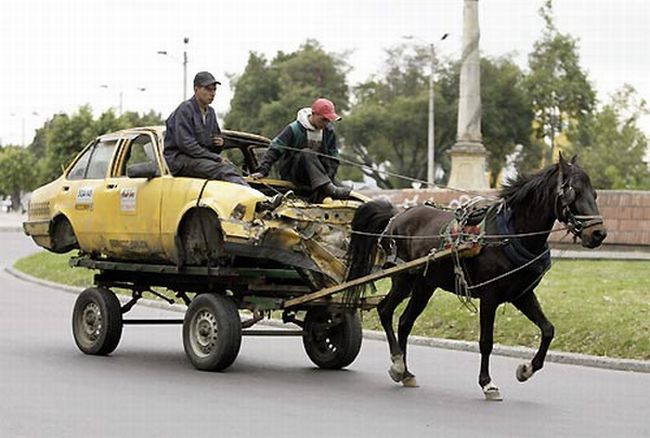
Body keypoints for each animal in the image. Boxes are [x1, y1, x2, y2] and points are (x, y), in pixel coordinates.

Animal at [346, 154, 604, 400]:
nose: (599, 234)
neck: (510, 233)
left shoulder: (522, 295)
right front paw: (487, 383)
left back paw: (406, 372)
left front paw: (526, 370)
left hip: (424, 285)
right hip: (403, 279)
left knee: (405, 322)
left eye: (594, 193)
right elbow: (486, 341)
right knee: (385, 310)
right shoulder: (490, 296)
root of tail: (396, 215)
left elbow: (548, 329)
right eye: (573, 192)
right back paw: (398, 364)